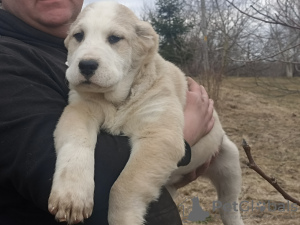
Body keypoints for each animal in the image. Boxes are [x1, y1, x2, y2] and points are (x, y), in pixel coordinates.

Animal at [48, 1, 244, 225]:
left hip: (229, 161)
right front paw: (72, 197)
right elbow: (75, 146)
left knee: (228, 205)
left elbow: (124, 186)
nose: (86, 65)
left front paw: (124, 219)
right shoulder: (80, 110)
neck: (118, 99)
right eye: (78, 36)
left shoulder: (159, 134)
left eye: (114, 38)